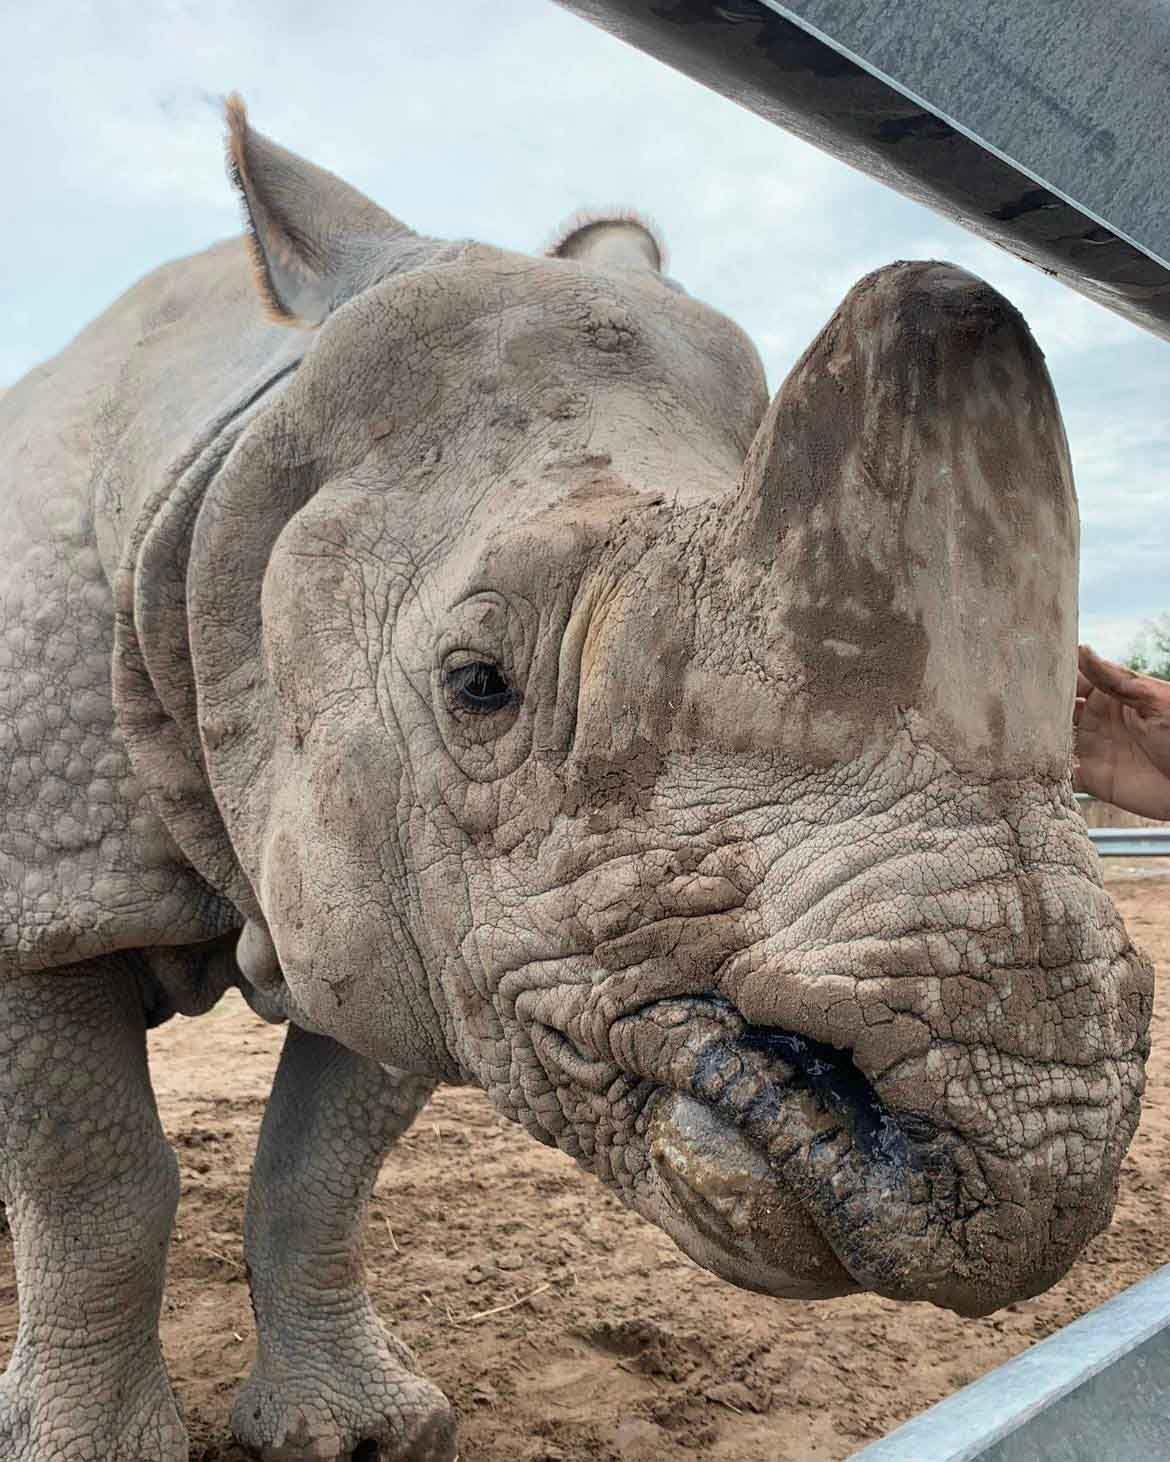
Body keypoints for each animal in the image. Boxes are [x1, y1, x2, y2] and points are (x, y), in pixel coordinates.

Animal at [0, 97, 1152, 1462]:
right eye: (479, 683)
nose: (1041, 1143)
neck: (221, 503)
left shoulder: (419, 914)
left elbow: (320, 1166)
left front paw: (362, 1434)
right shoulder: (43, 887)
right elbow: (100, 1186)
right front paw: (88, 1449)